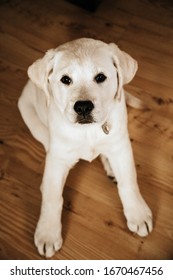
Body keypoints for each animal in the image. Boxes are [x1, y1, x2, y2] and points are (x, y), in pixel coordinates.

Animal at [18, 38, 152, 258]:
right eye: (65, 80)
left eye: (100, 77)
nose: (82, 107)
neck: (88, 131)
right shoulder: (57, 161)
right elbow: (53, 198)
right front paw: (48, 233)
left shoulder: (121, 146)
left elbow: (129, 182)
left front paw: (138, 213)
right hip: (28, 113)